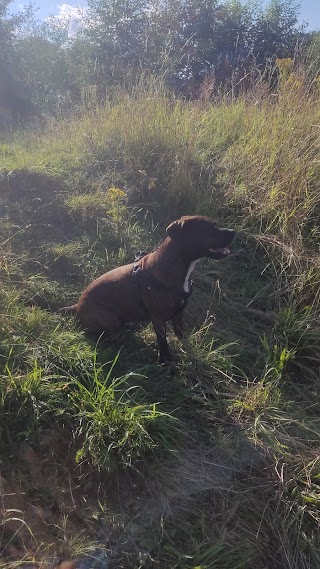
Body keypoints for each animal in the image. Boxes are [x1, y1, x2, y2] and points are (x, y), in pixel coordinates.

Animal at [60, 215, 235, 362]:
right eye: (209, 229)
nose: (233, 232)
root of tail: (77, 306)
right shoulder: (158, 319)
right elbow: (162, 340)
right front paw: (166, 360)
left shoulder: (179, 313)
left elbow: (180, 333)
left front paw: (185, 347)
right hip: (109, 318)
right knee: (109, 334)